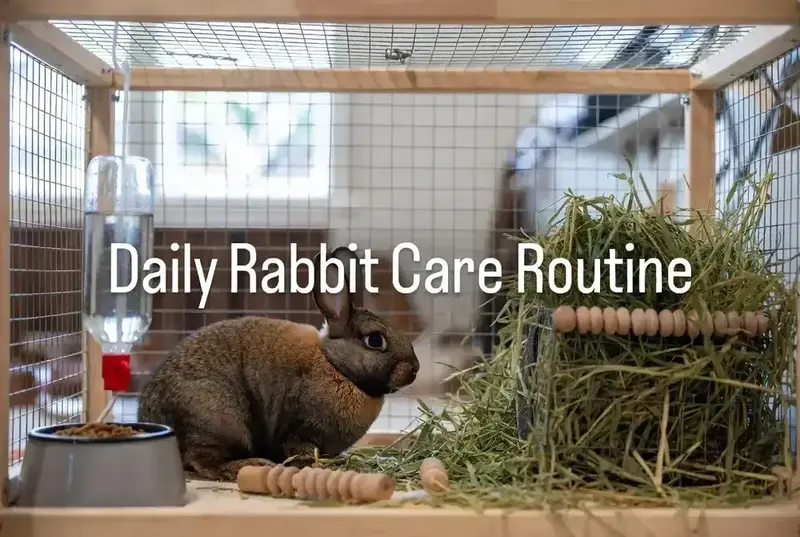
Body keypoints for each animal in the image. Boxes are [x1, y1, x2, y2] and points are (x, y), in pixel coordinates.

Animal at [137, 246, 420, 482]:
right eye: (375, 340)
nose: (415, 369)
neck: (335, 366)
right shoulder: (300, 430)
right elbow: (298, 449)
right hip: (219, 419)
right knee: (202, 460)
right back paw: (251, 465)